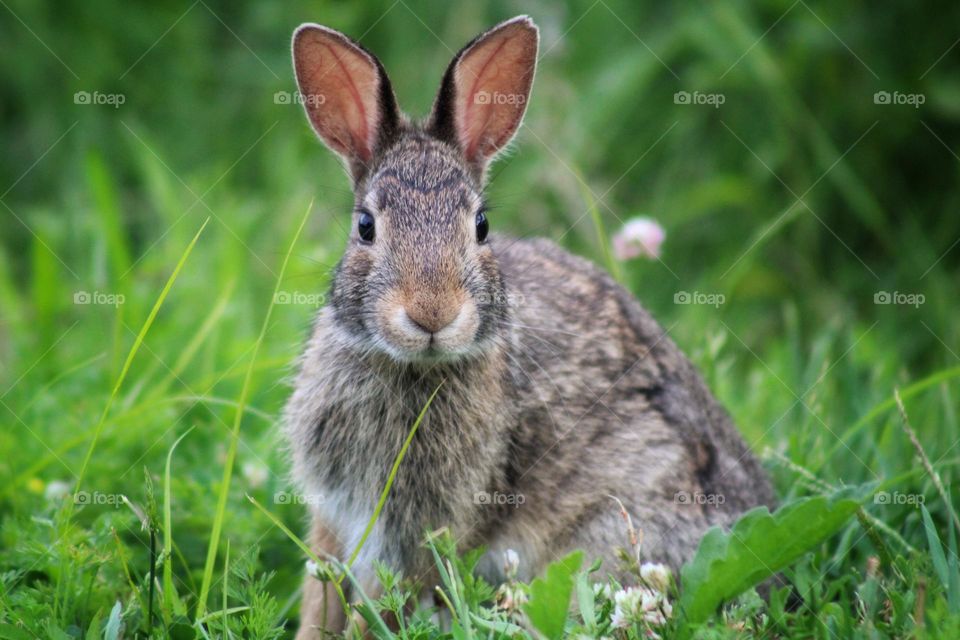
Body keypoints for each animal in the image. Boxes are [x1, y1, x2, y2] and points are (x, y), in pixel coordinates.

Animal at [284, 15, 775, 636]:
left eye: (482, 225)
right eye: (365, 227)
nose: (432, 313)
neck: (413, 367)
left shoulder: (420, 530)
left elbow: (382, 602)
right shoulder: (336, 514)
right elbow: (321, 590)